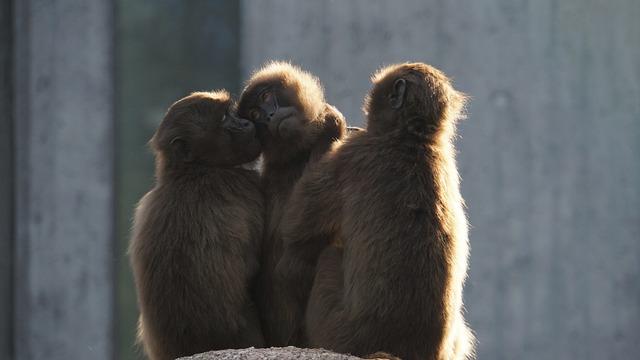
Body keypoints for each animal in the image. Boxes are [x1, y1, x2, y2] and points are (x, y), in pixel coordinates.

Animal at [236, 61, 348, 346]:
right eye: (254, 113)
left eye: (266, 96)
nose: (269, 116)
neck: (298, 154)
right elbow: (291, 268)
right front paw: (331, 126)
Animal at [278, 63, 478, 358]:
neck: (412, 138)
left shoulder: (353, 154)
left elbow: (296, 228)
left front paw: (330, 128)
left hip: (336, 330)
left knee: (328, 254)